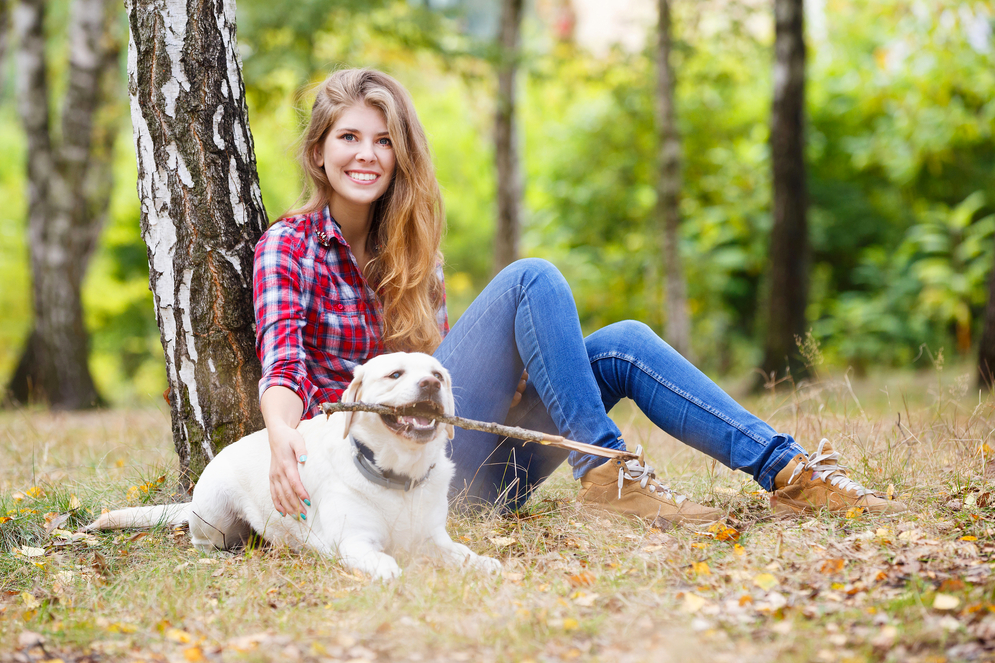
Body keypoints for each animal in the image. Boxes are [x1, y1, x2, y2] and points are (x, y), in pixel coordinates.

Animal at [85, 352, 502, 580]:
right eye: (395, 374)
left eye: (439, 374)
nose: (432, 383)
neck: (400, 479)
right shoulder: (353, 541)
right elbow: (379, 557)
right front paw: (387, 569)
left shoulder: (435, 538)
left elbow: (463, 554)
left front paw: (484, 563)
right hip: (215, 517)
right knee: (201, 537)